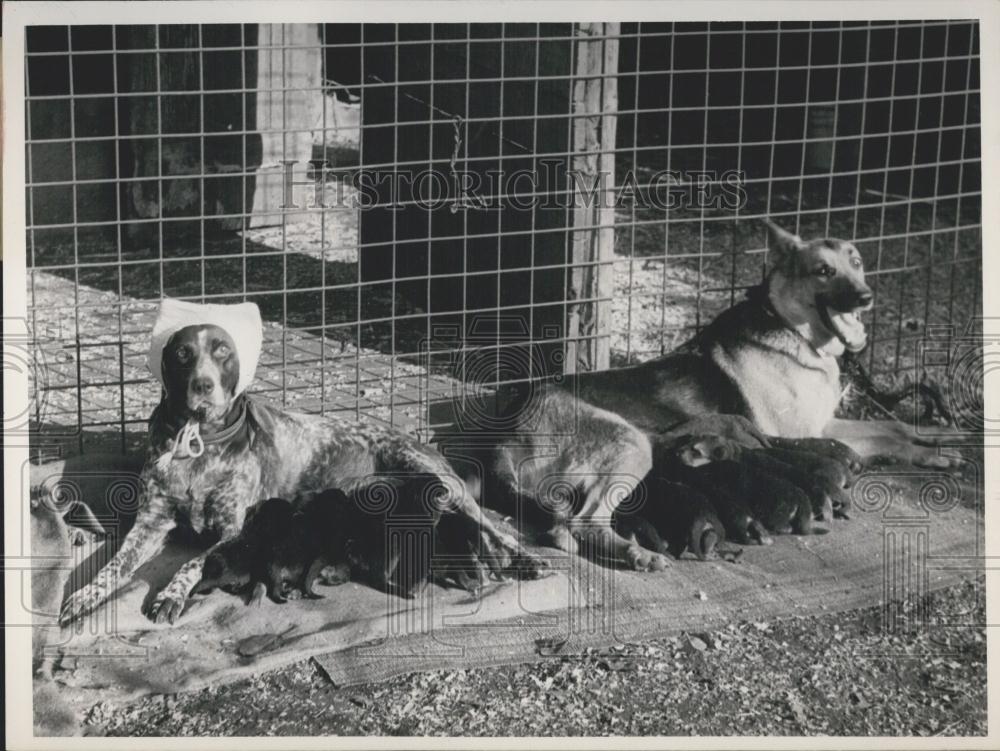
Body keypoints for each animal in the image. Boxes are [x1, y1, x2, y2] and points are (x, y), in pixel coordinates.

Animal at [60, 306, 548, 628]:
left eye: (222, 351)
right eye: (182, 353)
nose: (203, 385)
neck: (200, 444)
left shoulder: (233, 528)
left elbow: (190, 564)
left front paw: (171, 594)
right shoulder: (150, 522)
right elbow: (111, 568)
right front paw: (84, 595)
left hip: (443, 482)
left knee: (500, 528)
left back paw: (529, 561)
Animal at [476, 220, 960, 572]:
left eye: (856, 262)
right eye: (823, 271)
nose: (865, 297)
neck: (789, 328)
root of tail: (508, 428)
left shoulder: (827, 423)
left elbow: (895, 424)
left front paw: (941, 438)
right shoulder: (815, 429)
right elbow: (887, 437)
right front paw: (933, 452)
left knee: (564, 529)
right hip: (629, 443)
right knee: (577, 526)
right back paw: (638, 554)